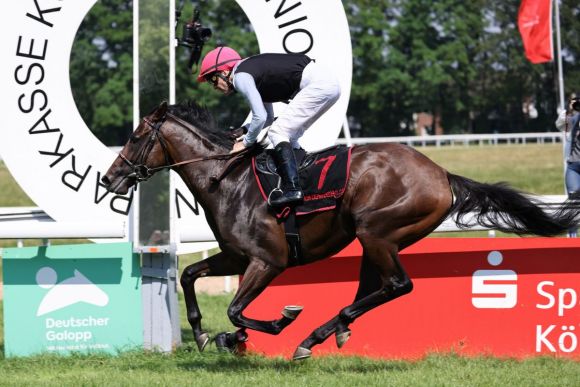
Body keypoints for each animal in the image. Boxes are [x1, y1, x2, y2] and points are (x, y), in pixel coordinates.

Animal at [102, 101, 576, 360]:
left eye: (136, 136)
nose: (109, 178)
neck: (228, 178)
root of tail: (442, 174)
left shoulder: (267, 261)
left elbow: (237, 309)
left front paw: (267, 324)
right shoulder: (237, 256)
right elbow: (187, 275)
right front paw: (206, 334)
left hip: (377, 230)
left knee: (398, 285)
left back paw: (312, 336)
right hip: (378, 239)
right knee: (377, 285)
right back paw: (333, 330)